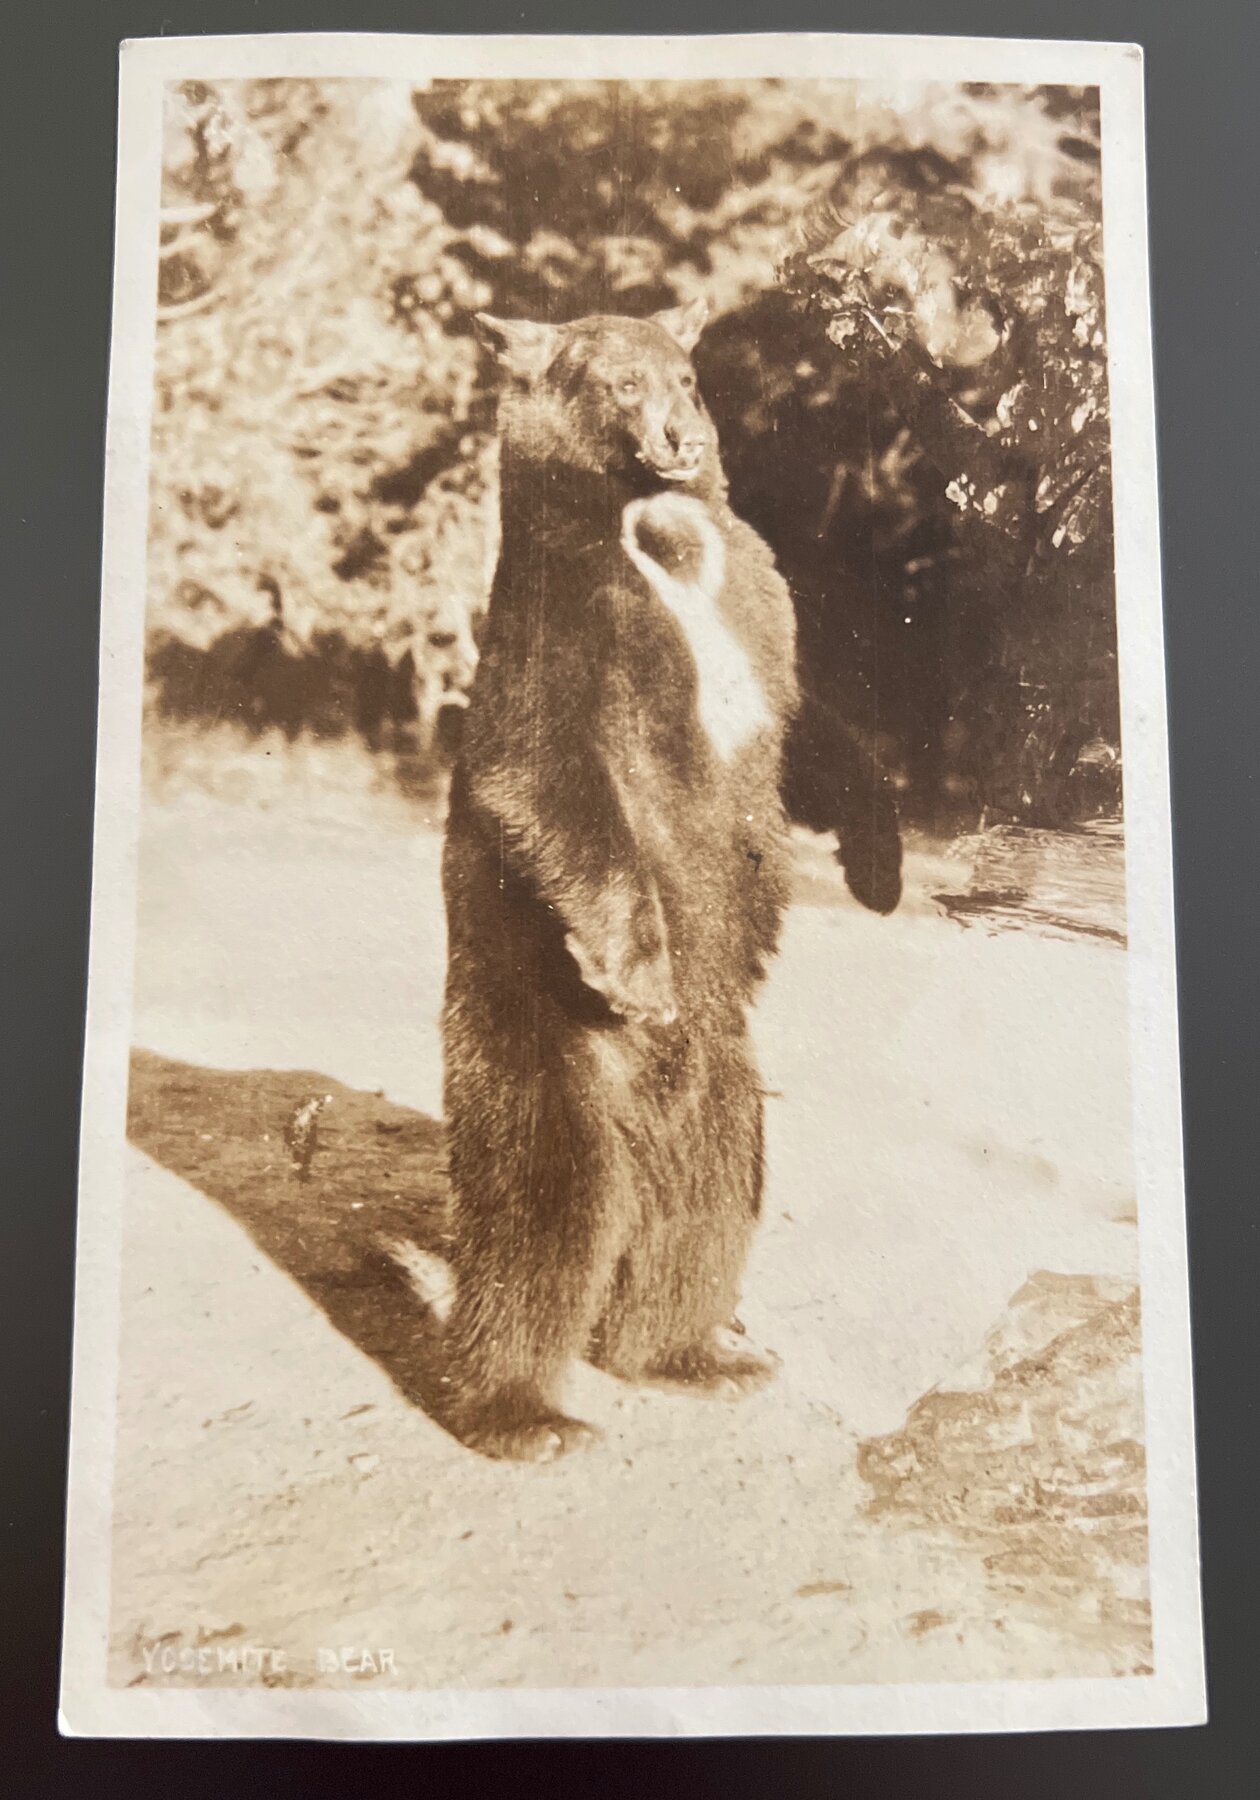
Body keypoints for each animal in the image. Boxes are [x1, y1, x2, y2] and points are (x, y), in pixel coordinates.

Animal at [437, 299, 799, 1461]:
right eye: (620, 386)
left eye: (687, 377)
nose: (682, 439)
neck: (655, 535)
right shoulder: (564, 620)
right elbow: (543, 771)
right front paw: (640, 971)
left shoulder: (757, 609)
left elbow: (760, 791)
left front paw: (759, 918)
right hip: (531, 1044)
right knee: (542, 1217)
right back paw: (523, 1413)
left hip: (728, 1084)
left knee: (713, 1203)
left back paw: (694, 1353)